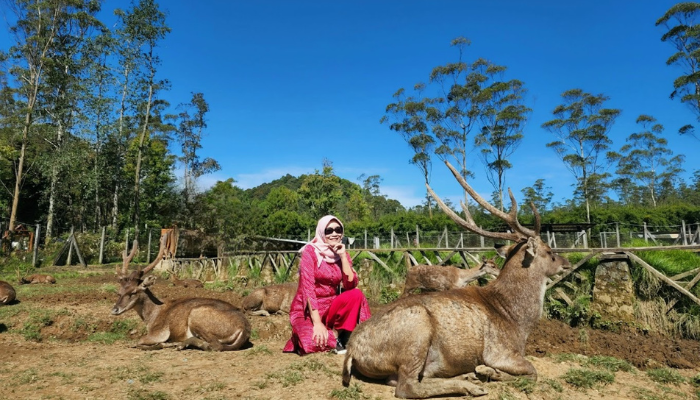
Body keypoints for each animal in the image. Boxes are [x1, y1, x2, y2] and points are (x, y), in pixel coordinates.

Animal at [110, 233, 250, 352]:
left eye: (133, 291)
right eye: (119, 292)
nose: (114, 309)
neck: (151, 317)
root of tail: (243, 329)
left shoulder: (160, 332)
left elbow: (138, 341)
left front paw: (158, 344)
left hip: (197, 314)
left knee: (215, 345)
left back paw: (177, 344)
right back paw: (179, 344)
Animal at [342, 160, 572, 400]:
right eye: (550, 251)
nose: (567, 262)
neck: (517, 319)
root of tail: (352, 351)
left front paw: (483, 373)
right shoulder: (499, 351)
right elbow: (532, 371)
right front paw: (489, 372)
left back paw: (468, 377)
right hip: (417, 329)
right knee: (406, 386)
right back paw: (470, 385)